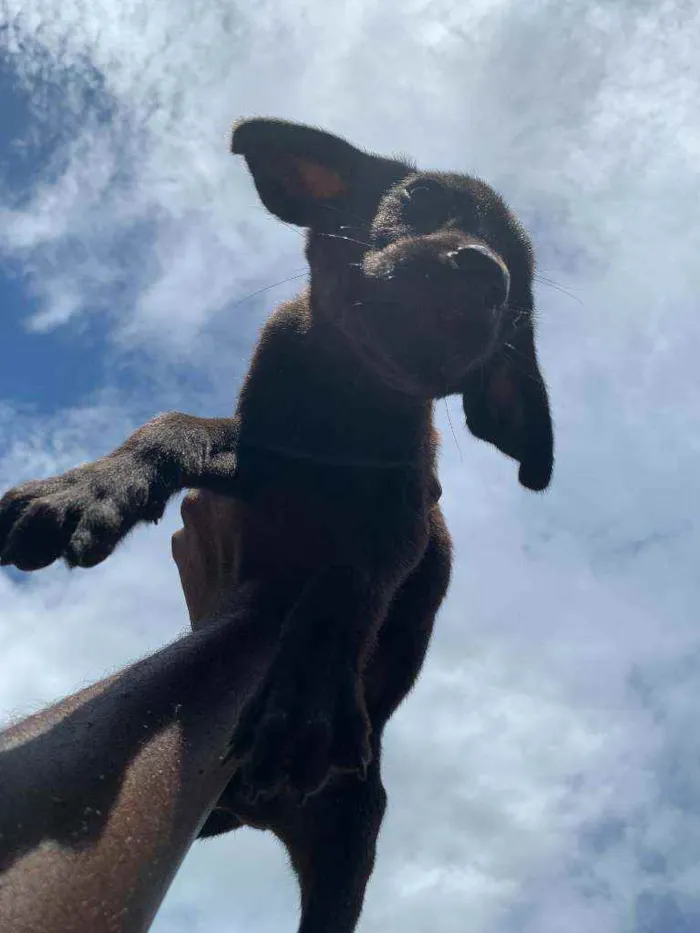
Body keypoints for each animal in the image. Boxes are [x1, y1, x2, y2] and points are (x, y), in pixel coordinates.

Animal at [0, 118, 552, 932]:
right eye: (419, 201)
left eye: (521, 300)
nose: (487, 275)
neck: (343, 397)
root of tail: (262, 813)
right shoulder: (257, 450)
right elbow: (173, 425)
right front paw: (85, 488)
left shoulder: (409, 513)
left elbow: (349, 580)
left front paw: (307, 694)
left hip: (349, 845)